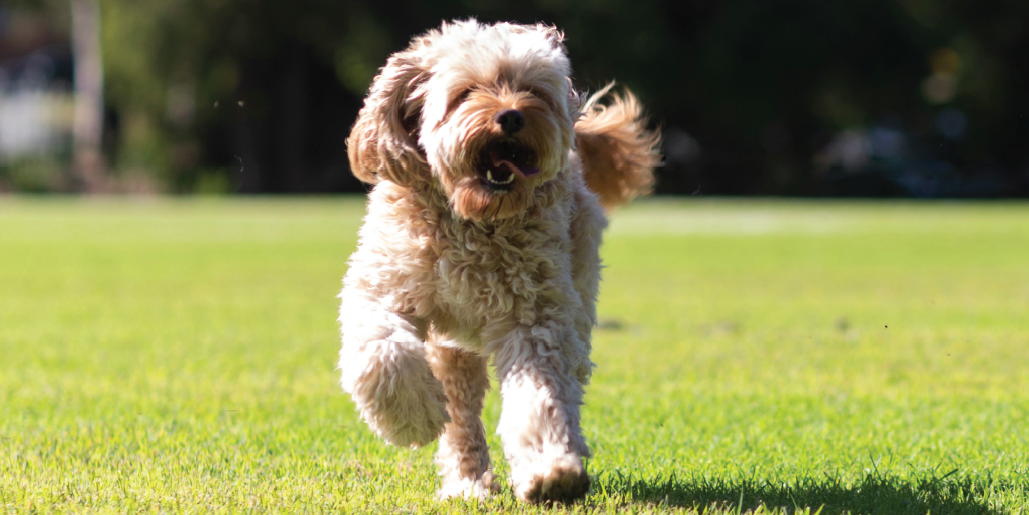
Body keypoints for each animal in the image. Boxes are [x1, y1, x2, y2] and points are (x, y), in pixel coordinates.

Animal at [337, 20, 658, 502]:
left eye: (532, 91)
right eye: (466, 92)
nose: (511, 116)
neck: (473, 220)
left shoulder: (535, 318)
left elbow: (539, 393)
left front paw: (550, 469)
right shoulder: (382, 287)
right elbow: (382, 350)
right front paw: (413, 417)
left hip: (576, 298)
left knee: (563, 380)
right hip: (453, 346)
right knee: (460, 411)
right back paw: (466, 481)